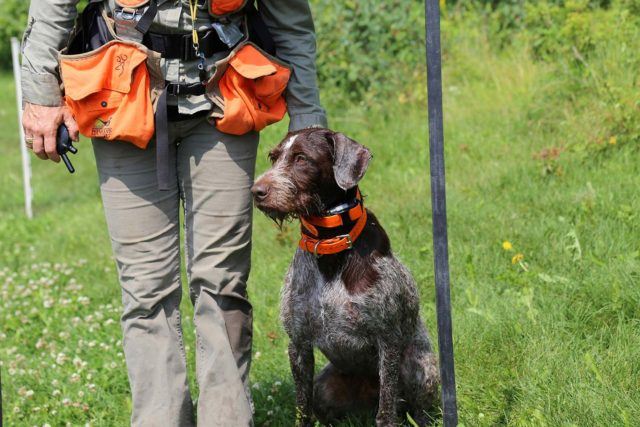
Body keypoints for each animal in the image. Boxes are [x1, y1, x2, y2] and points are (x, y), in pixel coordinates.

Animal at [250, 129, 440, 426]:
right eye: (273, 157)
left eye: (301, 158)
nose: (256, 191)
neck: (331, 244)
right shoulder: (298, 344)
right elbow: (302, 409)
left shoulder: (388, 341)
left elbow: (386, 412)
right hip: (324, 386)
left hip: (419, 368)